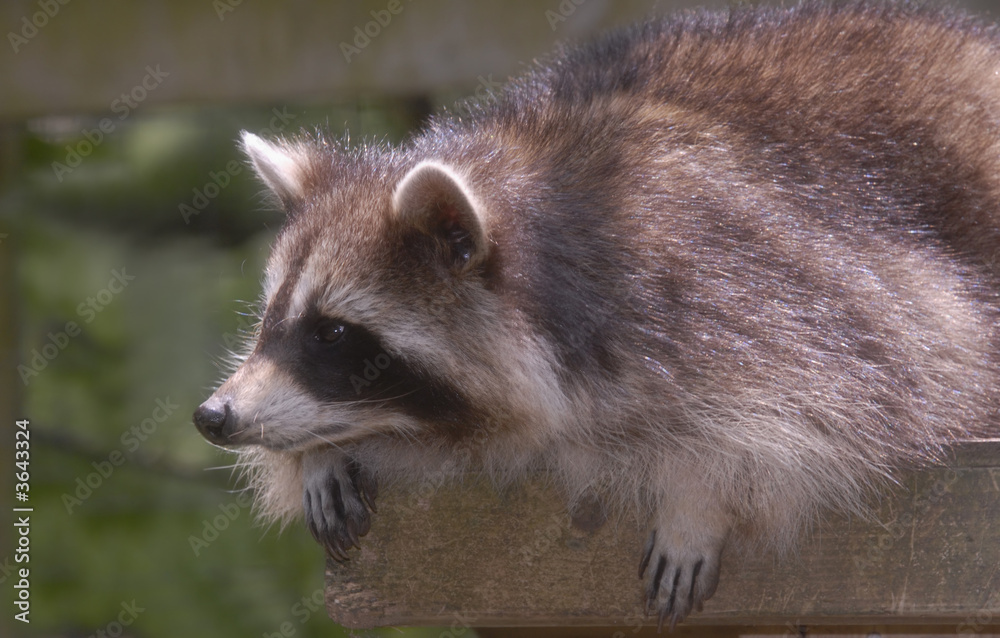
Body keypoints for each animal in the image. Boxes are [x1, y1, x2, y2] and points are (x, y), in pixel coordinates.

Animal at [193, 0, 1000, 632]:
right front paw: (316, 455)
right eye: (271, 319)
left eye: (331, 333)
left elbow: (834, 397)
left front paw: (701, 492)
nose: (213, 416)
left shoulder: (745, 275)